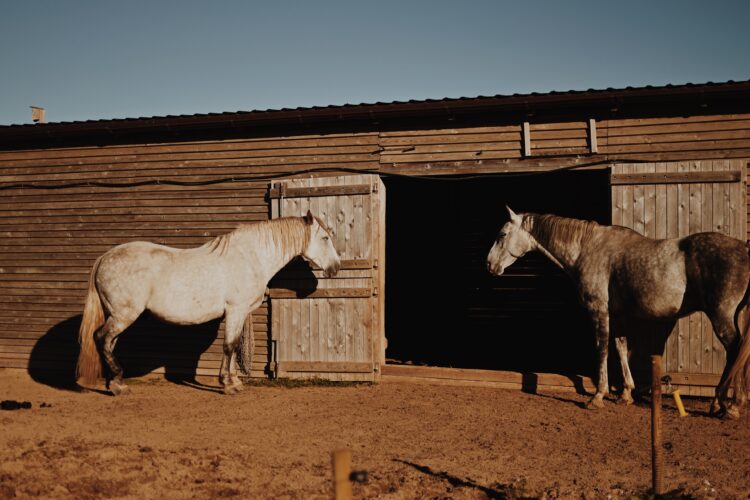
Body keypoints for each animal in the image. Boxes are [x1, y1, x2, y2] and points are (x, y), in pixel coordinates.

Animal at [75, 211, 340, 394]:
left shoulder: (239, 314)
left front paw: (235, 381)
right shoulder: (235, 310)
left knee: (109, 343)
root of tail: (105, 258)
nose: (336, 268)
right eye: (325, 237)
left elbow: (234, 346)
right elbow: (229, 346)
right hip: (124, 315)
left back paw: (115, 384)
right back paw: (118, 385)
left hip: (117, 315)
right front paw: (228, 385)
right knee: (101, 338)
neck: (250, 257)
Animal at [488, 206, 750, 418]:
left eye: (502, 234)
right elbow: (621, 347)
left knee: (735, 350)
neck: (586, 248)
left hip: (721, 315)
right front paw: (626, 394)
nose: (490, 265)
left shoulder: (599, 310)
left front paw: (598, 396)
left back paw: (724, 404)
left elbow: (602, 348)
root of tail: (744, 249)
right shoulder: (618, 315)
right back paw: (736, 403)